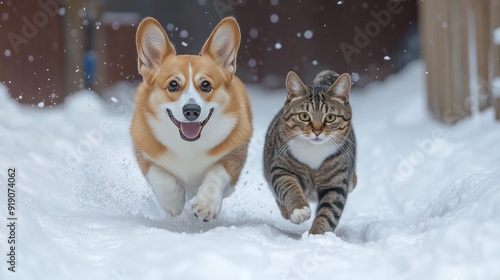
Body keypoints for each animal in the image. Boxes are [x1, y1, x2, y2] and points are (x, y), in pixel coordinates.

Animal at [131, 17, 252, 222]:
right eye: (173, 85)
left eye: (206, 85)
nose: (191, 111)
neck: (189, 145)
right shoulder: (145, 152)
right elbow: (161, 177)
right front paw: (174, 202)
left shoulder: (233, 156)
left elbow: (216, 173)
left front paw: (206, 206)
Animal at [264, 69, 358, 234]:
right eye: (304, 116)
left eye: (330, 117)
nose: (317, 131)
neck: (314, 151)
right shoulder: (281, 166)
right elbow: (288, 186)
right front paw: (299, 210)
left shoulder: (336, 184)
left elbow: (329, 212)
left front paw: (317, 236)